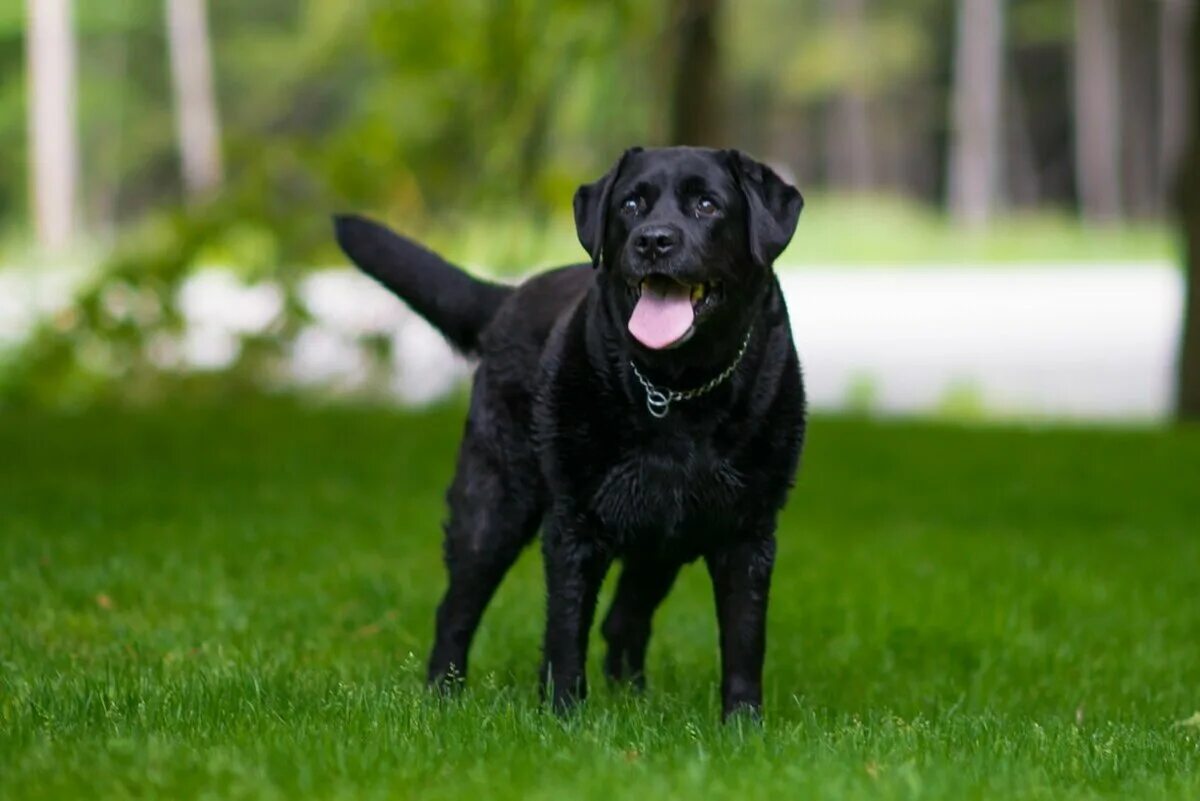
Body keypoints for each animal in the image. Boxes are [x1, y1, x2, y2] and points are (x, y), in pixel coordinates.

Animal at [333, 145, 806, 719]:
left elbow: (744, 641)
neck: (676, 389)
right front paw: (564, 718)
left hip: (664, 540)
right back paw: (443, 697)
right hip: (494, 501)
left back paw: (634, 702)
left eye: (707, 205)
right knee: (458, 607)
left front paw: (742, 727)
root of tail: (510, 297)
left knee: (622, 620)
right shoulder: (574, 524)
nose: (653, 240)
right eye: (631, 205)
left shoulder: (750, 531)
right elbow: (565, 630)